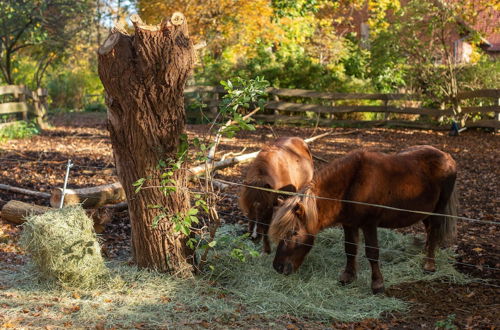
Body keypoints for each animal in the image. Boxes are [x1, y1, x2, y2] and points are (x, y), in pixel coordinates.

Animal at [270, 146, 458, 292]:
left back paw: (429, 264)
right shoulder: (349, 224)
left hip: (438, 210)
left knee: (434, 230)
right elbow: (350, 249)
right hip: (425, 211)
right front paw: (348, 276)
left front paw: (377, 284)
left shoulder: (369, 224)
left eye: (294, 232)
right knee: (429, 230)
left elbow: (372, 252)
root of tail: (447, 156)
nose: (277, 267)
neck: (351, 186)